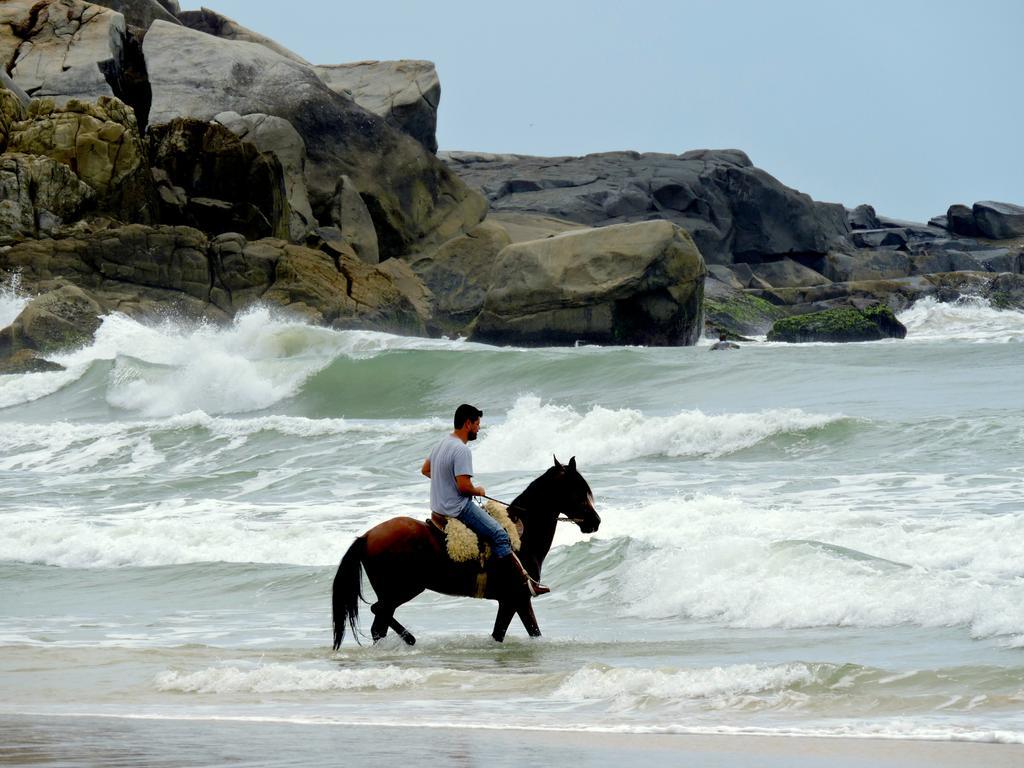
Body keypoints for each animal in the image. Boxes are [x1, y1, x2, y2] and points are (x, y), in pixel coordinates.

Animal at [327, 456, 598, 651]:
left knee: (379, 623)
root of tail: (366, 536)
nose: (595, 521)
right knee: (379, 615)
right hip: (401, 591)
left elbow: (507, 633)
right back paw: (409, 639)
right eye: (577, 490)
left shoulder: (512, 601)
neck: (521, 535)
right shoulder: (517, 599)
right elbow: (526, 631)